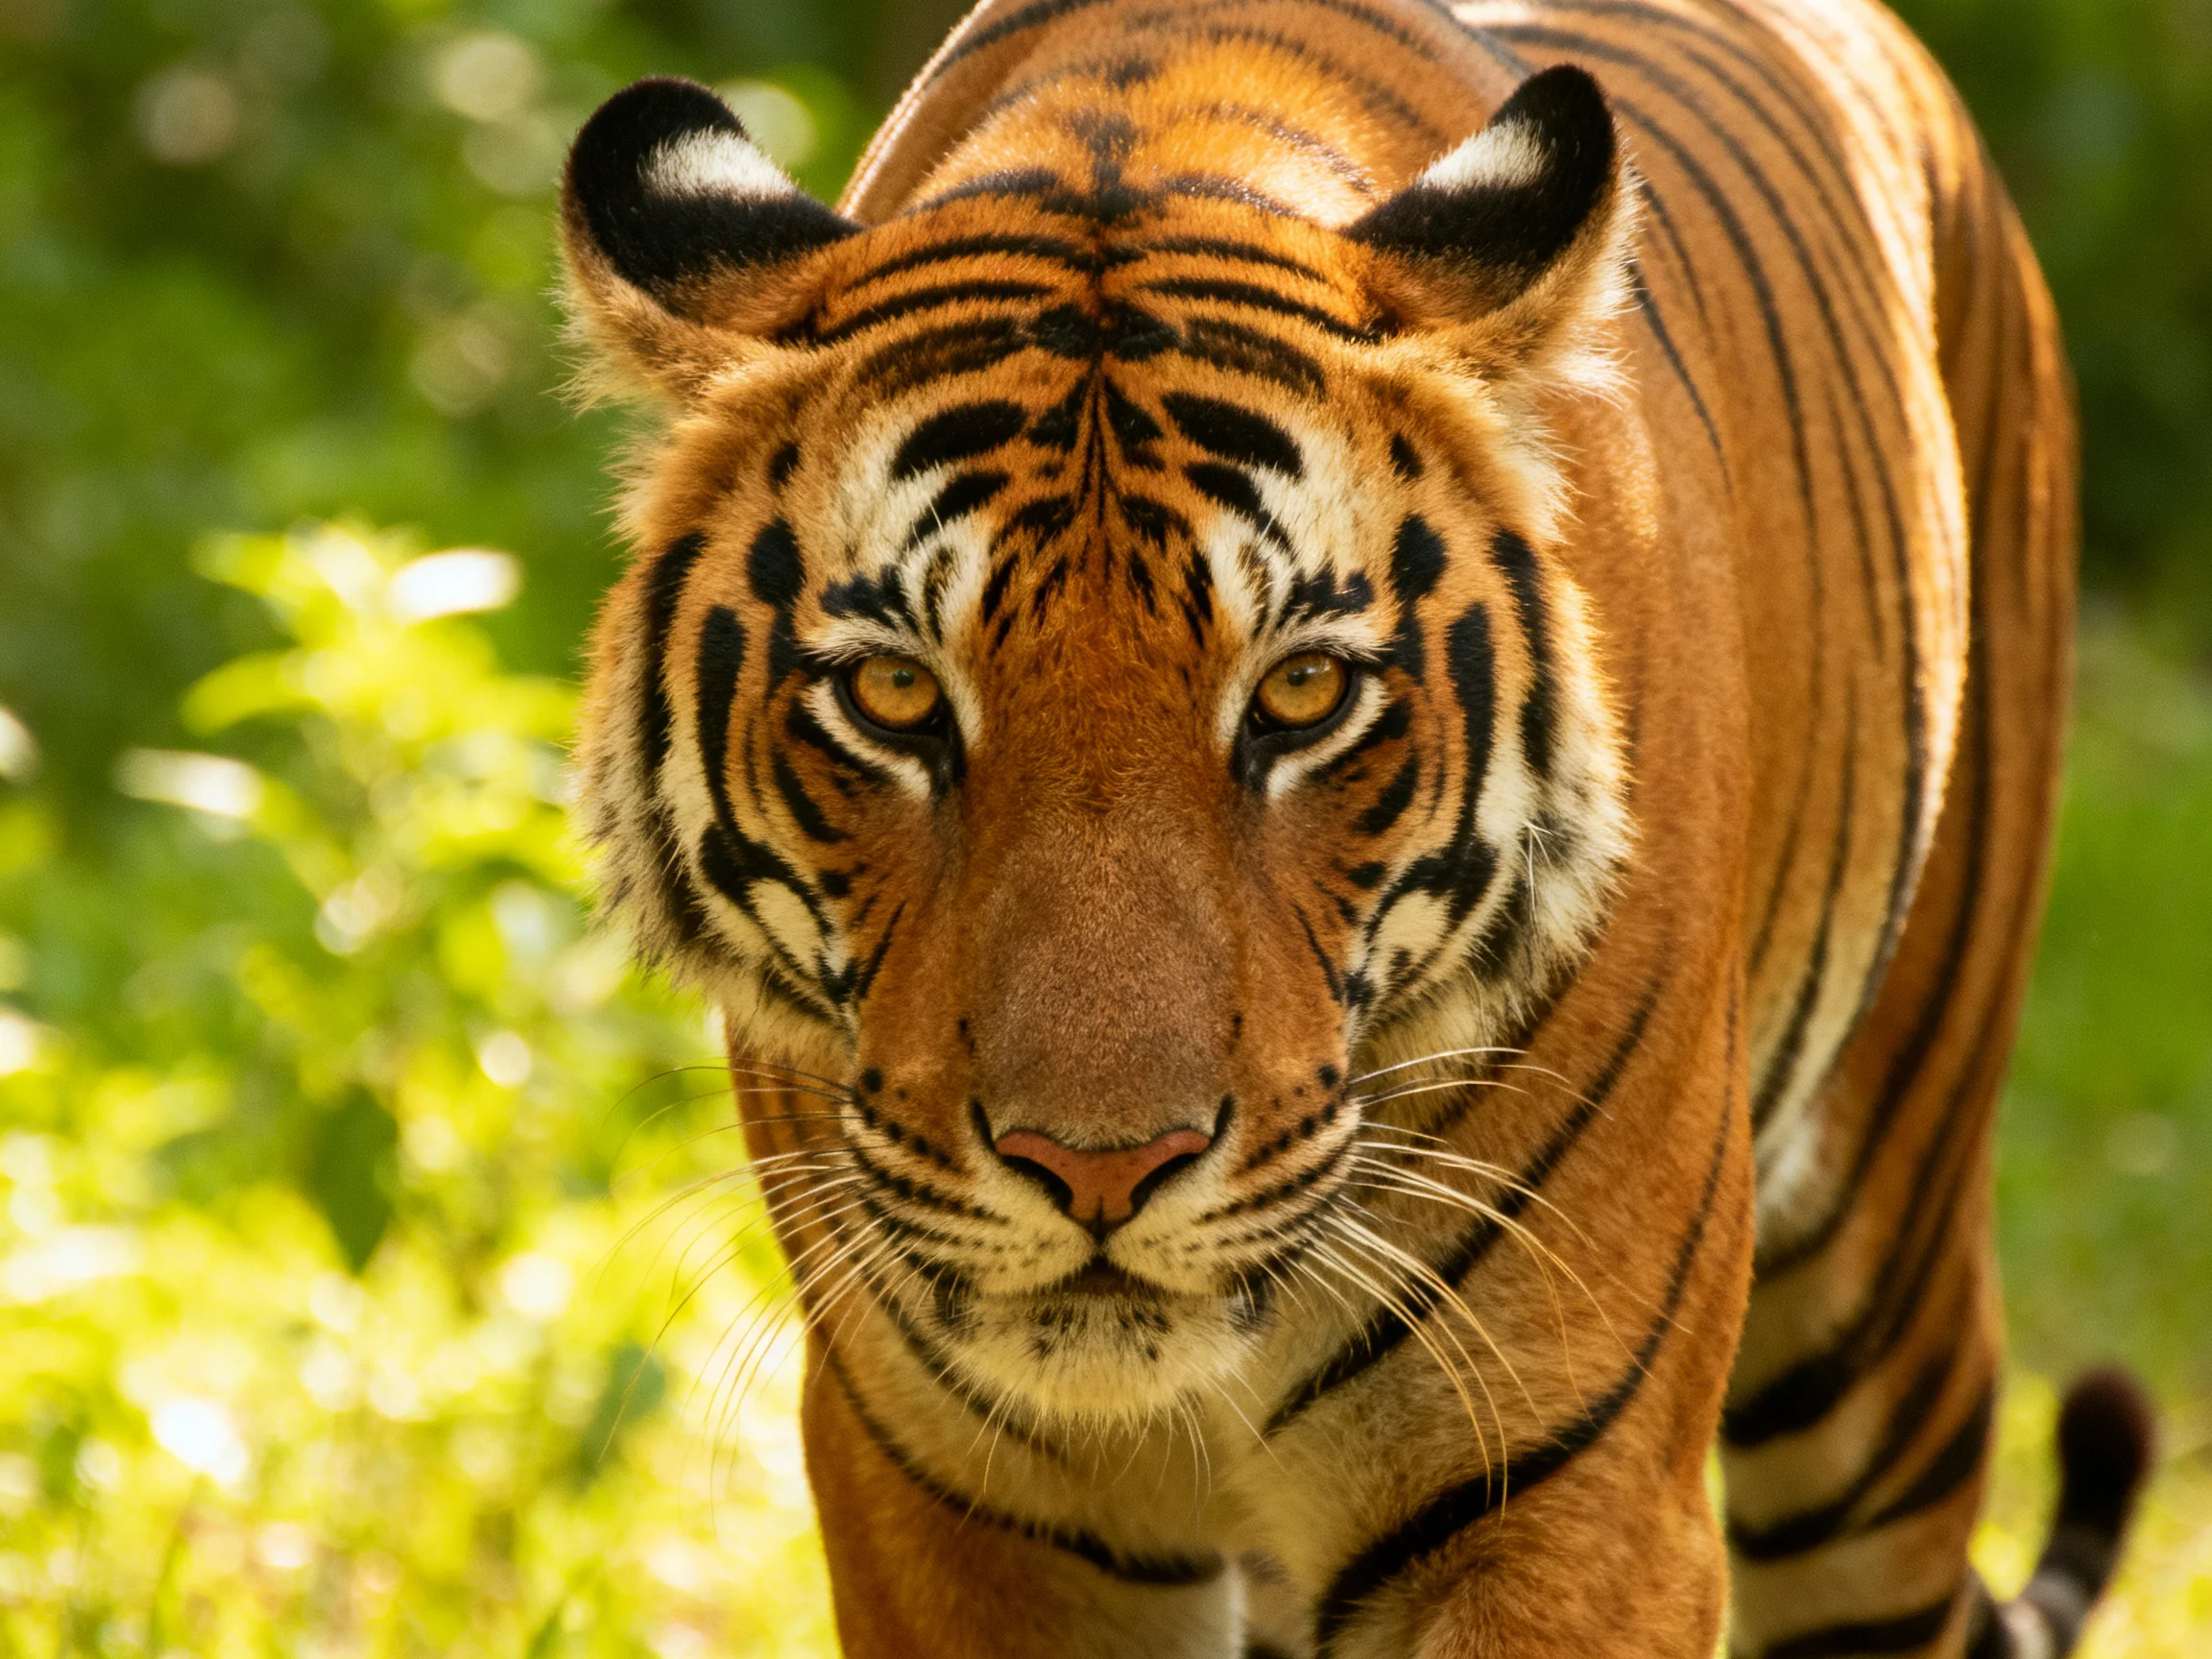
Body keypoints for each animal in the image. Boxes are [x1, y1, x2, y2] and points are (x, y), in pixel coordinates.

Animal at [554, 0, 2156, 1654]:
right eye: (893, 694)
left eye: (1302, 693)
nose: (1100, 1172)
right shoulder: (950, 1505)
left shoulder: (1568, 1502)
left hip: (1886, 1300)